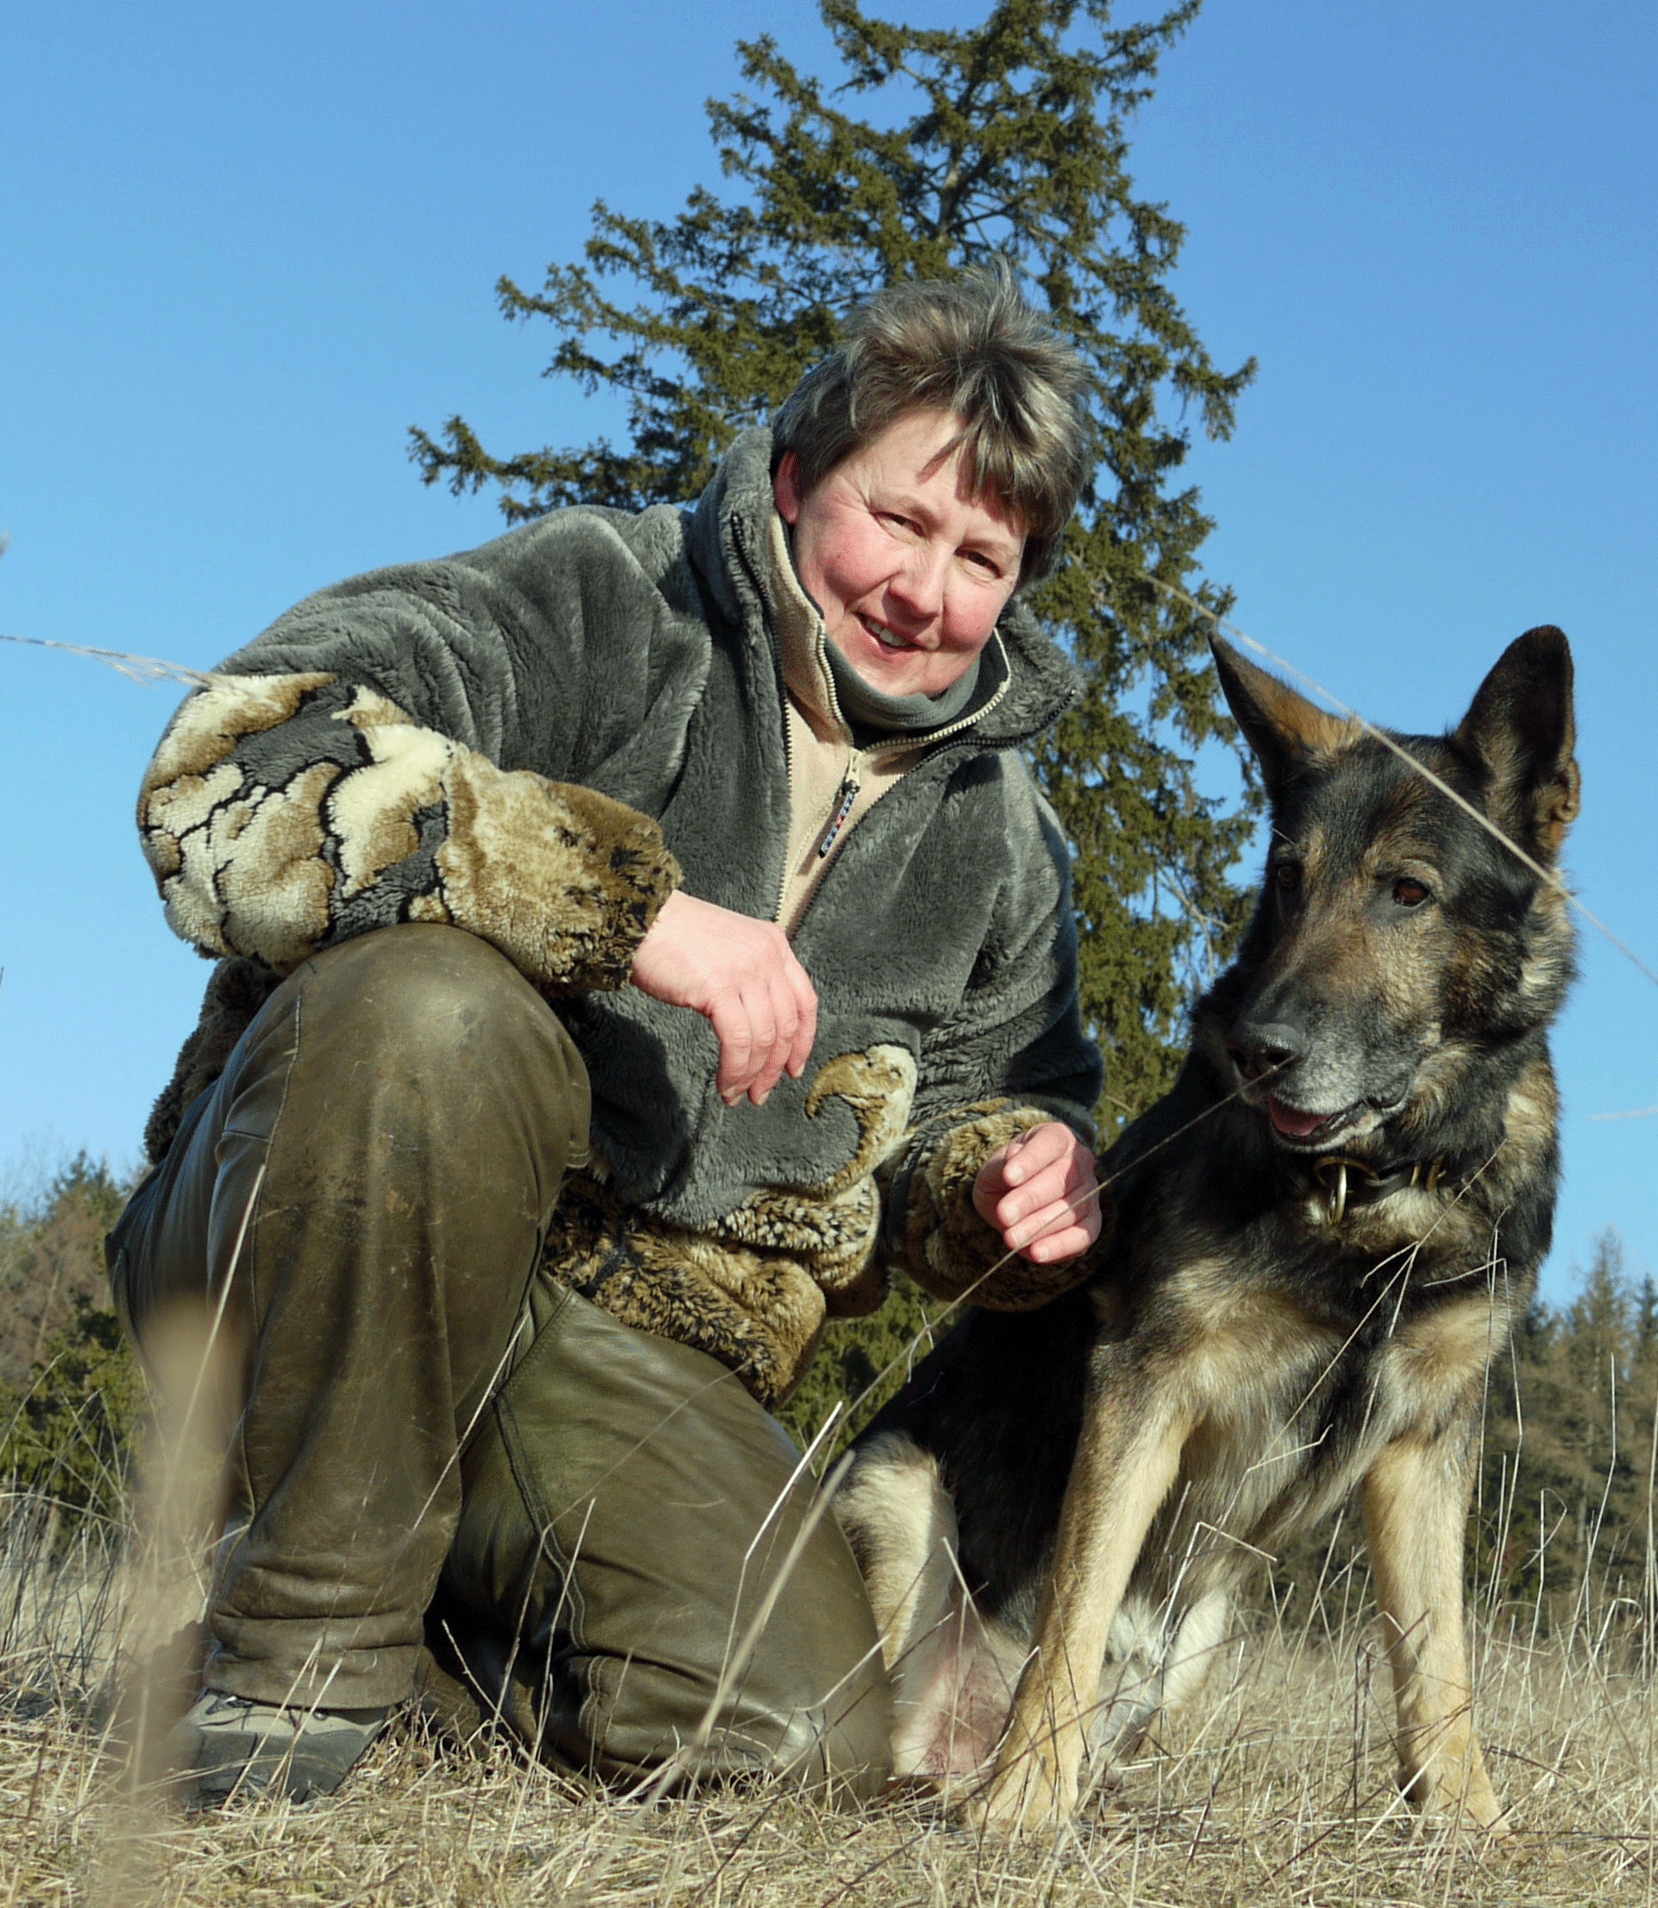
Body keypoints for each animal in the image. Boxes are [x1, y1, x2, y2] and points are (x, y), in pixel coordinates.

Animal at [835, 627, 1579, 1835]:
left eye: (1407, 892)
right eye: (1287, 880)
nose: (1263, 1051)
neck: (1364, 1193)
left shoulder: (1426, 1443)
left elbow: (1439, 1665)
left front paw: (1467, 1825)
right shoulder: (1146, 1387)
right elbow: (1076, 1609)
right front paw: (1021, 1808)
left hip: (1200, 1631)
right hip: (891, 1491)